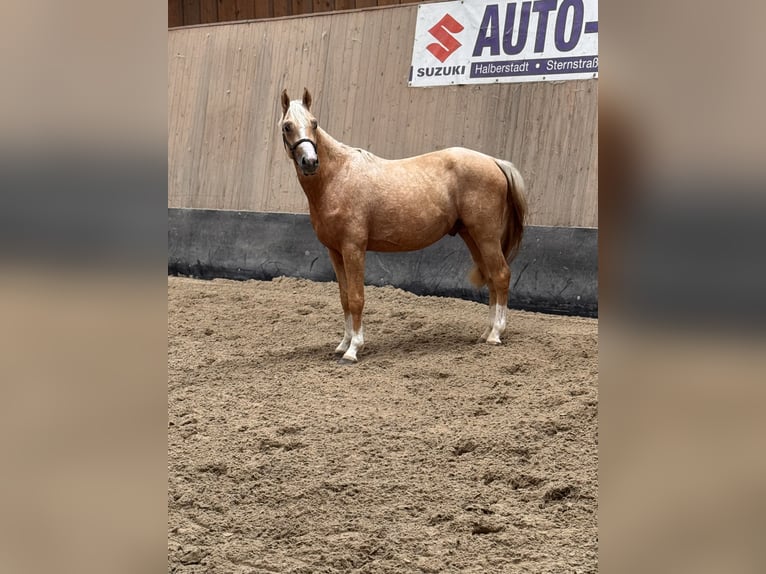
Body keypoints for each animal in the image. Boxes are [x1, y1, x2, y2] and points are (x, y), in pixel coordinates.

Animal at [282, 87, 528, 362]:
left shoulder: (353, 248)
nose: (310, 162)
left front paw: (354, 348)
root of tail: (494, 161)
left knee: (501, 274)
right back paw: (486, 333)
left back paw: (496, 333)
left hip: (486, 235)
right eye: (287, 126)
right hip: (473, 237)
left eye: (314, 123)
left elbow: (356, 298)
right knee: (492, 278)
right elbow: (344, 298)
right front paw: (343, 344)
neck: (337, 177)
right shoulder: (335, 251)